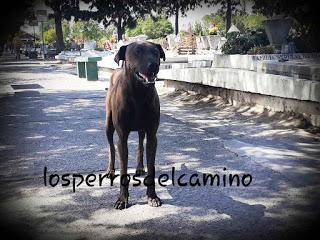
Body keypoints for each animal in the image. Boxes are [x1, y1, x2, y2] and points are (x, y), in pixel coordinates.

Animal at [105, 41, 165, 210]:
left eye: (156, 52)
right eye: (137, 52)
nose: (154, 64)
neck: (139, 93)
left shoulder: (152, 135)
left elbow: (151, 166)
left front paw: (152, 196)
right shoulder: (122, 138)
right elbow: (123, 169)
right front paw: (122, 199)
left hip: (142, 129)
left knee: (139, 144)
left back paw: (139, 167)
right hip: (108, 124)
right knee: (111, 146)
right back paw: (111, 170)